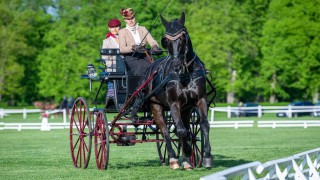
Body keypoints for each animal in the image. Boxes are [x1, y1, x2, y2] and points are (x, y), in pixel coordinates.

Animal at [131, 11, 214, 169]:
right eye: (166, 40)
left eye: (183, 38)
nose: (177, 66)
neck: (186, 74)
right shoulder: (174, 103)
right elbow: (180, 131)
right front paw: (187, 151)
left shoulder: (200, 100)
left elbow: (204, 124)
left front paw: (206, 156)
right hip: (156, 106)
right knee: (166, 132)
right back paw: (173, 159)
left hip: (186, 109)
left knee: (183, 129)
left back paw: (186, 160)